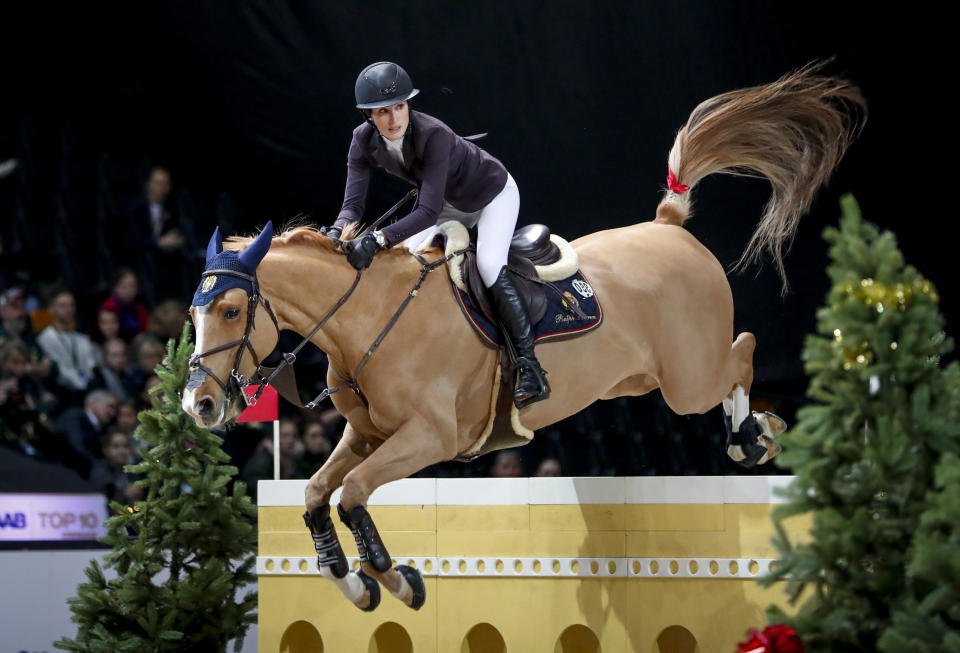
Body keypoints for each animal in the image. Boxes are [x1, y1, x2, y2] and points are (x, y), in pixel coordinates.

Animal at [178, 63, 864, 608]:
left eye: (232, 310)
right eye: (193, 315)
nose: (198, 405)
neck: (367, 319)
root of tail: (669, 226)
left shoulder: (430, 438)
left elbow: (351, 493)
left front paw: (397, 580)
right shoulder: (367, 433)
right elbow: (318, 493)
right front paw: (353, 582)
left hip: (685, 382)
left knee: (742, 353)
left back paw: (756, 436)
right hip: (635, 383)